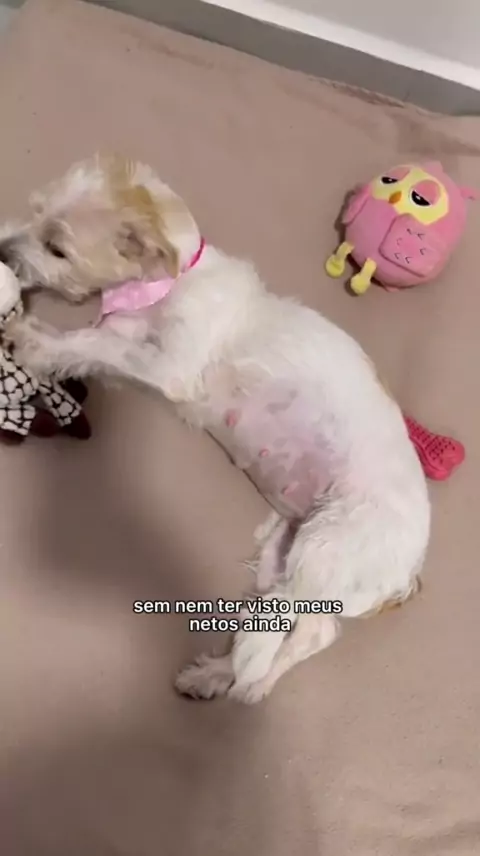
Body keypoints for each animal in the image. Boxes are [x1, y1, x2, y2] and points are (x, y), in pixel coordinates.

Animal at [3, 155, 430, 704]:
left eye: (57, 248)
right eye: (33, 212)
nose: (1, 251)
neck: (171, 279)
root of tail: (410, 573)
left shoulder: (170, 366)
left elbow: (94, 343)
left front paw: (35, 341)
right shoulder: (130, 340)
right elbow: (99, 346)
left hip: (329, 547)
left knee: (308, 630)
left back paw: (253, 686)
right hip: (282, 551)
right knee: (286, 620)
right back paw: (215, 676)